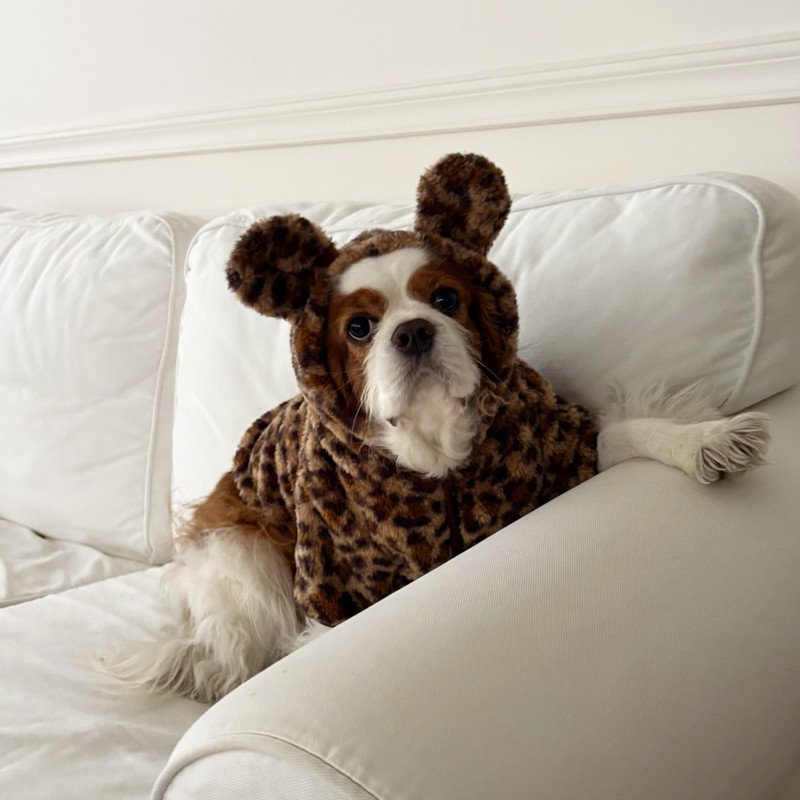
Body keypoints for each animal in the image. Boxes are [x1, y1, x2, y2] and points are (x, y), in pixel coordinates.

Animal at [104, 153, 770, 703]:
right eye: (359, 328)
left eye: (447, 299)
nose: (414, 331)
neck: (436, 445)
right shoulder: (332, 571)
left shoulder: (560, 456)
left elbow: (634, 434)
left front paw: (707, 441)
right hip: (243, 555)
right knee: (231, 657)